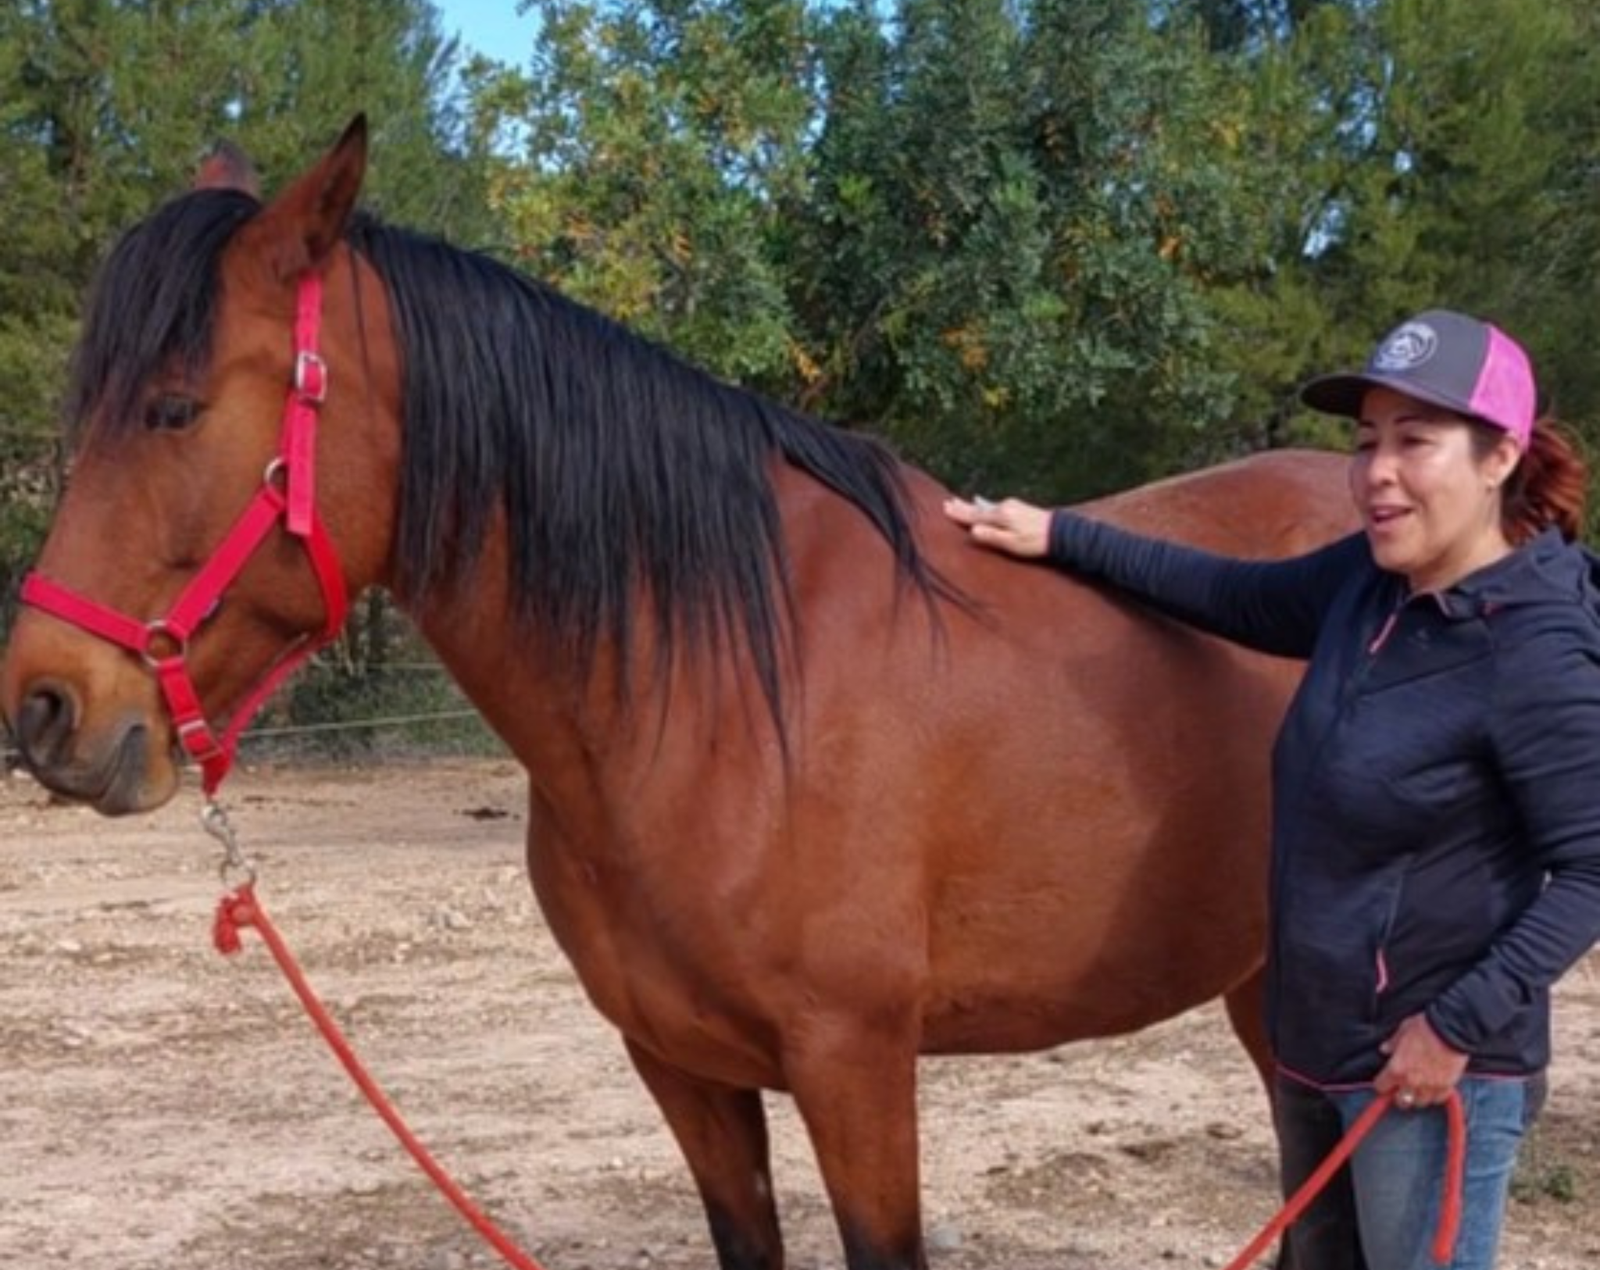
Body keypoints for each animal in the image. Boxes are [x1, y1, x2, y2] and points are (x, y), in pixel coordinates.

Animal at [0, 113, 1356, 1260]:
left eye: (174, 408)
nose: (43, 707)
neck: (719, 690)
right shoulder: (681, 1069)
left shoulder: (857, 1067)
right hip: (1266, 990)